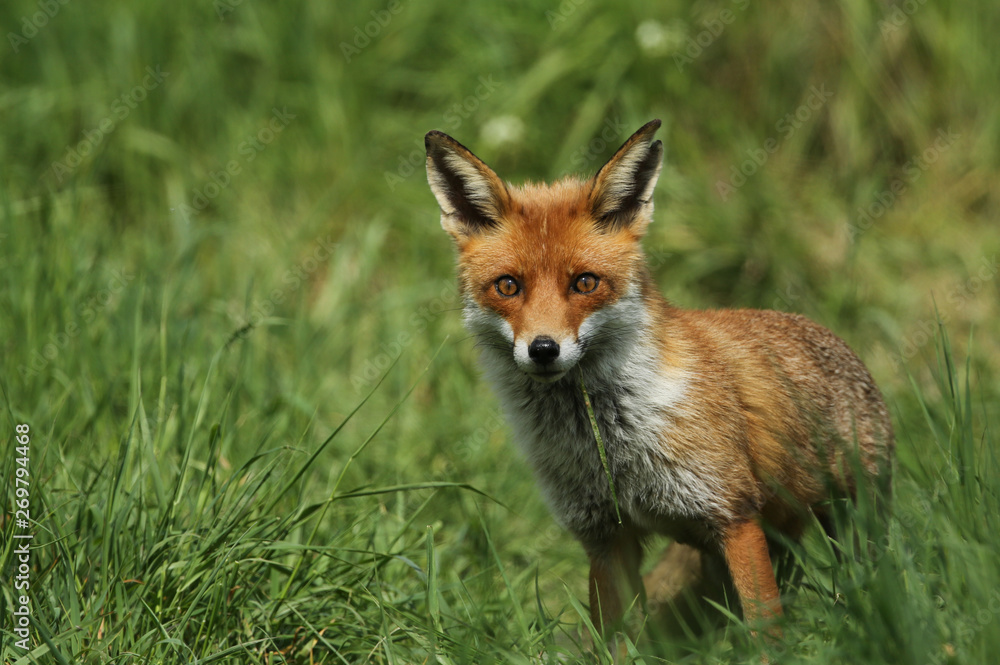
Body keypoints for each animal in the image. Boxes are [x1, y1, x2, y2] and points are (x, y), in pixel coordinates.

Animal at [424, 119, 894, 641]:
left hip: (852, 517)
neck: (609, 444)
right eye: (508, 286)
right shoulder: (605, 536)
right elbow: (615, 640)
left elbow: (764, 631)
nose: (543, 349)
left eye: (585, 283)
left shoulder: (733, 514)